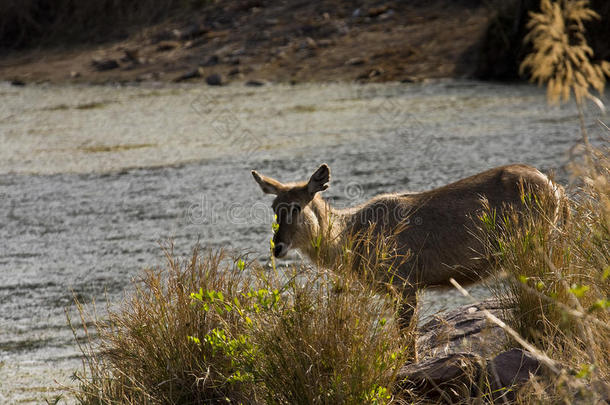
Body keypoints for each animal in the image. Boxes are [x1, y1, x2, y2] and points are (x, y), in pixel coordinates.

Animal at [248, 163, 560, 326]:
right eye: (274, 207)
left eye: (296, 206)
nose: (277, 247)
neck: (351, 235)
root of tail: (555, 188)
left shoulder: (405, 285)